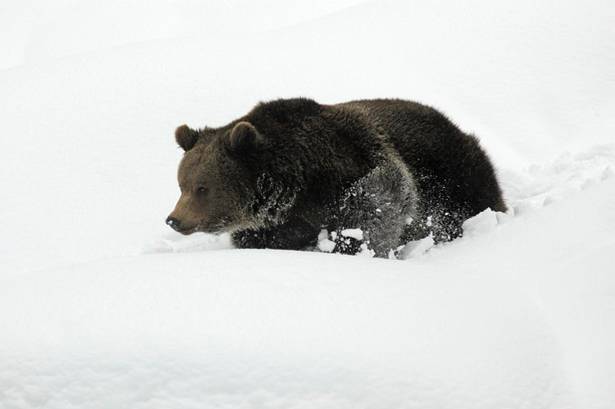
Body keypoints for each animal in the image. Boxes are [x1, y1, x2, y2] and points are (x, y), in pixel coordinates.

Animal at [167, 97, 506, 256]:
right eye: (181, 184)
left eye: (202, 187)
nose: (174, 219)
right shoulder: (277, 224)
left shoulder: (355, 162)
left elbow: (379, 207)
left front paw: (348, 245)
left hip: (455, 172)